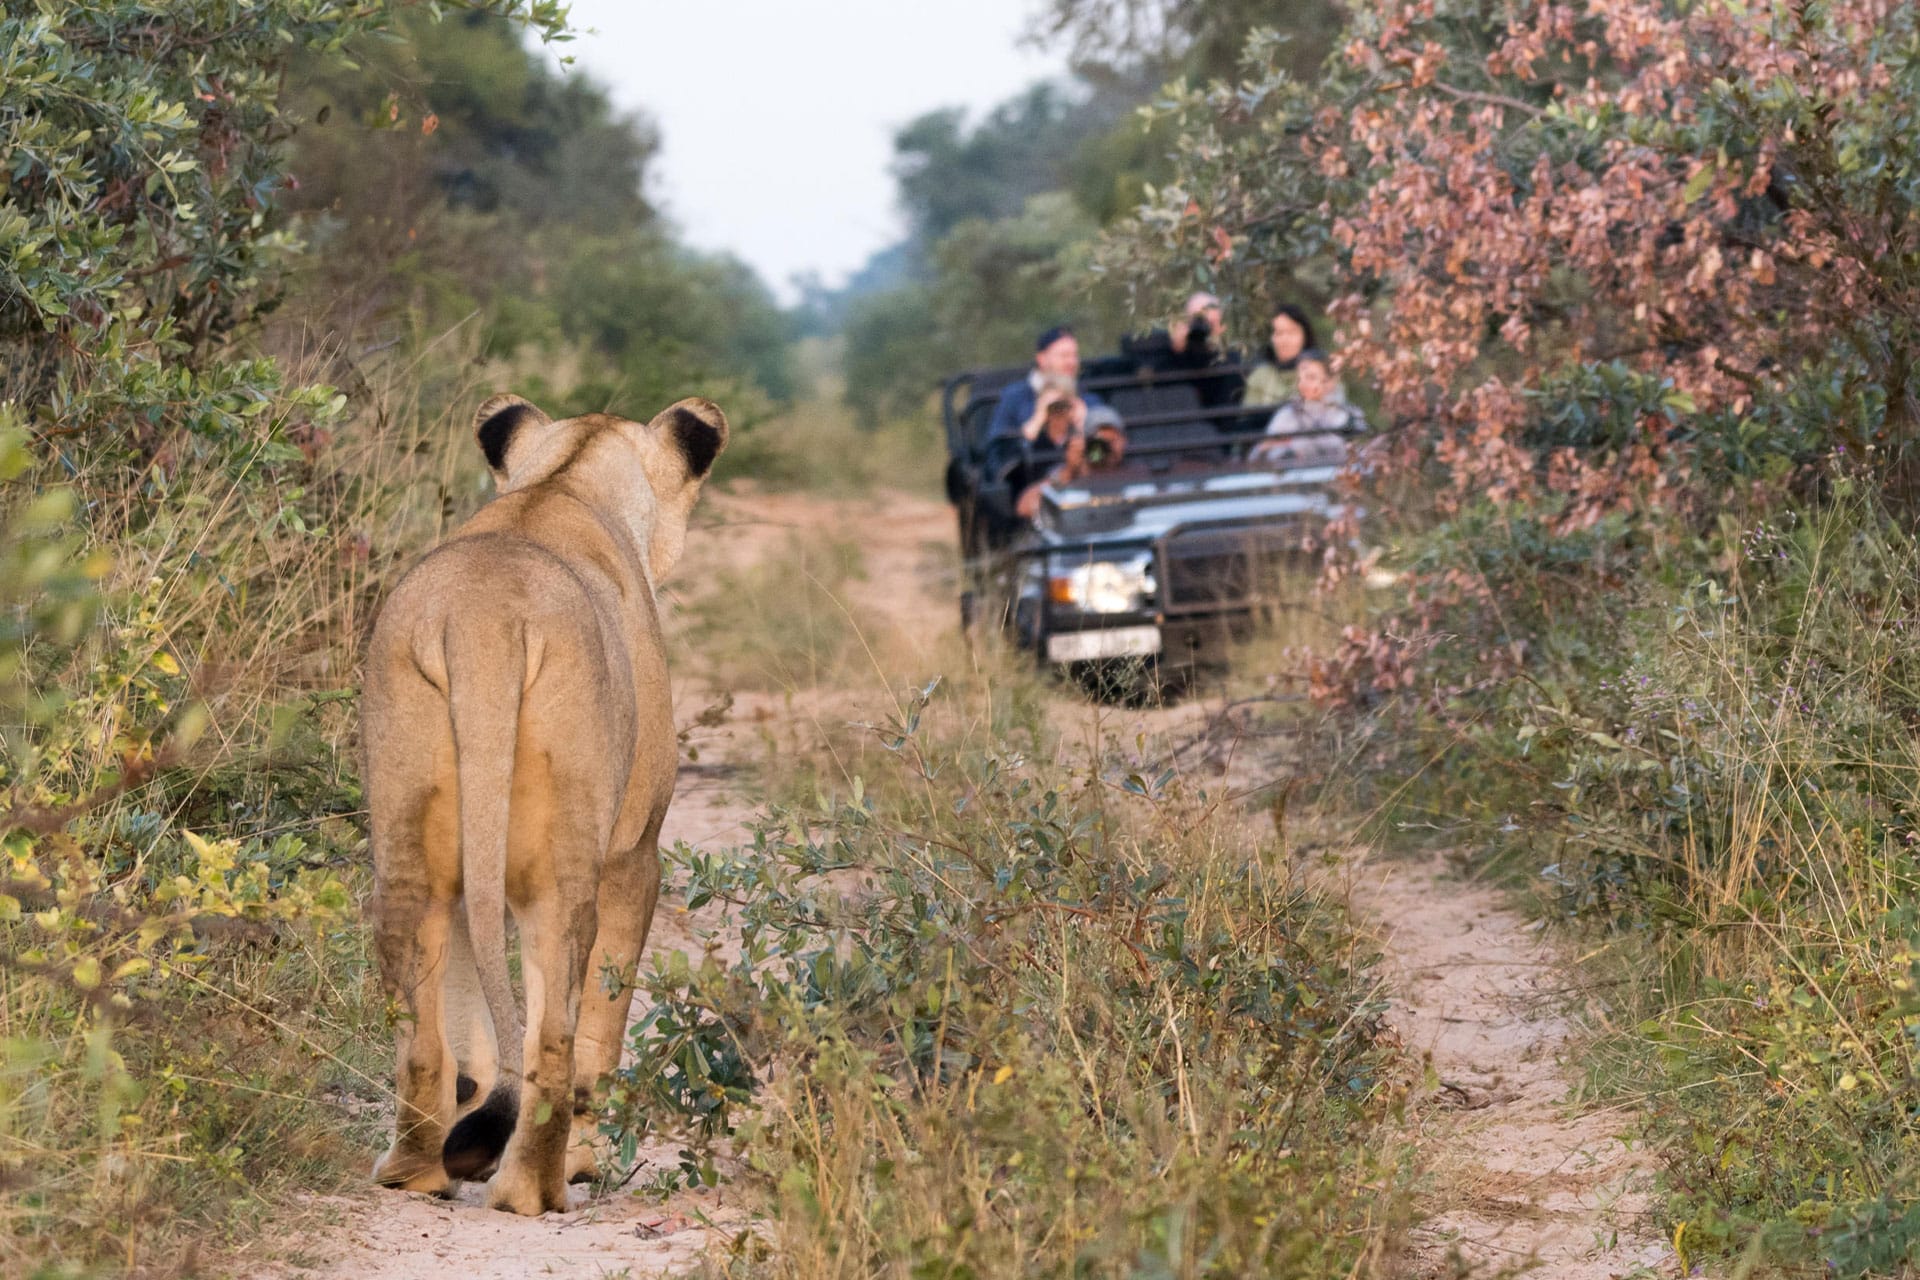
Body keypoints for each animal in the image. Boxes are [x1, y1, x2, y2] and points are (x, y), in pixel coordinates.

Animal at [361, 392, 726, 1215]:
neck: (565, 479)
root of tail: (484, 619)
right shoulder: (635, 854)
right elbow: (603, 1028)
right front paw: (591, 1162)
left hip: (409, 847)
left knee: (423, 1032)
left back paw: (418, 1171)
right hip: (567, 868)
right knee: (556, 1037)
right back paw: (537, 1188)